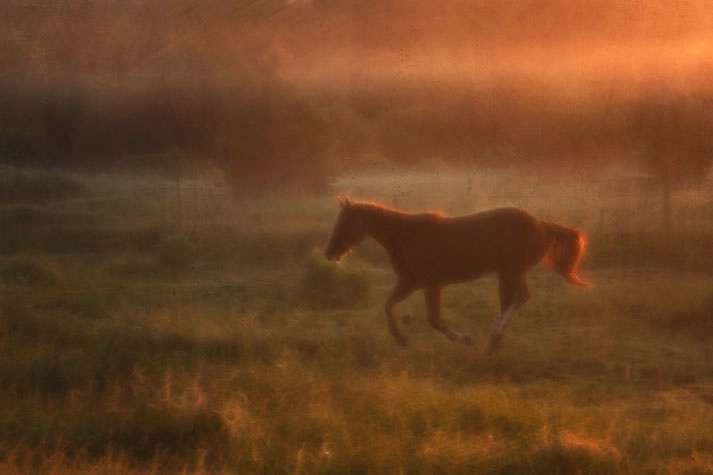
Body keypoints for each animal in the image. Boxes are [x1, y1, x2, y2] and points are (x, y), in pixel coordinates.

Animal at [326, 195, 588, 356]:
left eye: (346, 222)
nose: (330, 253)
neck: (406, 236)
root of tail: (541, 225)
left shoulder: (431, 284)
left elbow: (434, 320)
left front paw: (465, 339)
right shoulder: (410, 283)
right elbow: (389, 306)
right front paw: (401, 339)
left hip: (514, 271)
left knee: (521, 297)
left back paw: (495, 334)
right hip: (505, 274)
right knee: (509, 302)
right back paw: (494, 344)